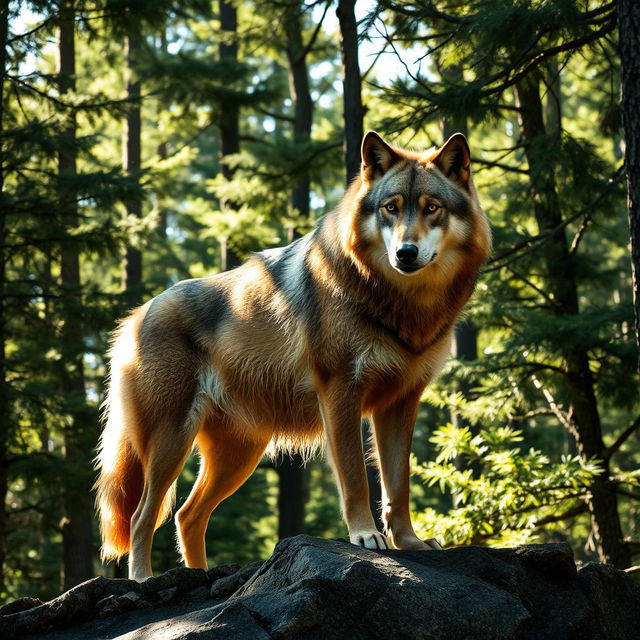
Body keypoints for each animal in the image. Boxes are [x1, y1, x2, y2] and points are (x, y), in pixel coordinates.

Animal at [95, 131, 492, 580]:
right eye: (391, 208)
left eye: (431, 208)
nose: (406, 253)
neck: (401, 303)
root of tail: (136, 316)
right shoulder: (340, 394)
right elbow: (356, 478)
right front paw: (365, 536)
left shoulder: (400, 403)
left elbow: (398, 484)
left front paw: (409, 543)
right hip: (171, 443)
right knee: (142, 517)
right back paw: (145, 579)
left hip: (236, 458)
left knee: (186, 516)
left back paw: (201, 574)